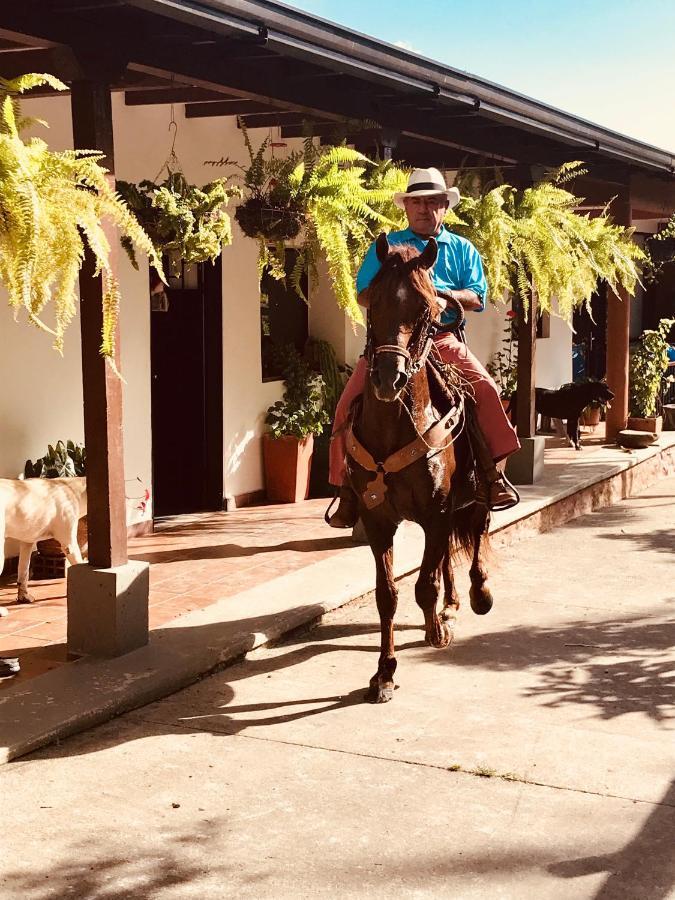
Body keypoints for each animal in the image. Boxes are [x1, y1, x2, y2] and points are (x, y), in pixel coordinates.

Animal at [348, 232, 492, 704]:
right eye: (373, 301)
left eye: (427, 308)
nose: (387, 378)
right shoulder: (378, 520)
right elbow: (388, 595)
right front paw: (384, 672)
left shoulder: (437, 511)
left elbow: (423, 584)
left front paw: (436, 632)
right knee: (445, 554)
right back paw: (448, 606)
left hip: (477, 493)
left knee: (478, 529)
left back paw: (475, 594)